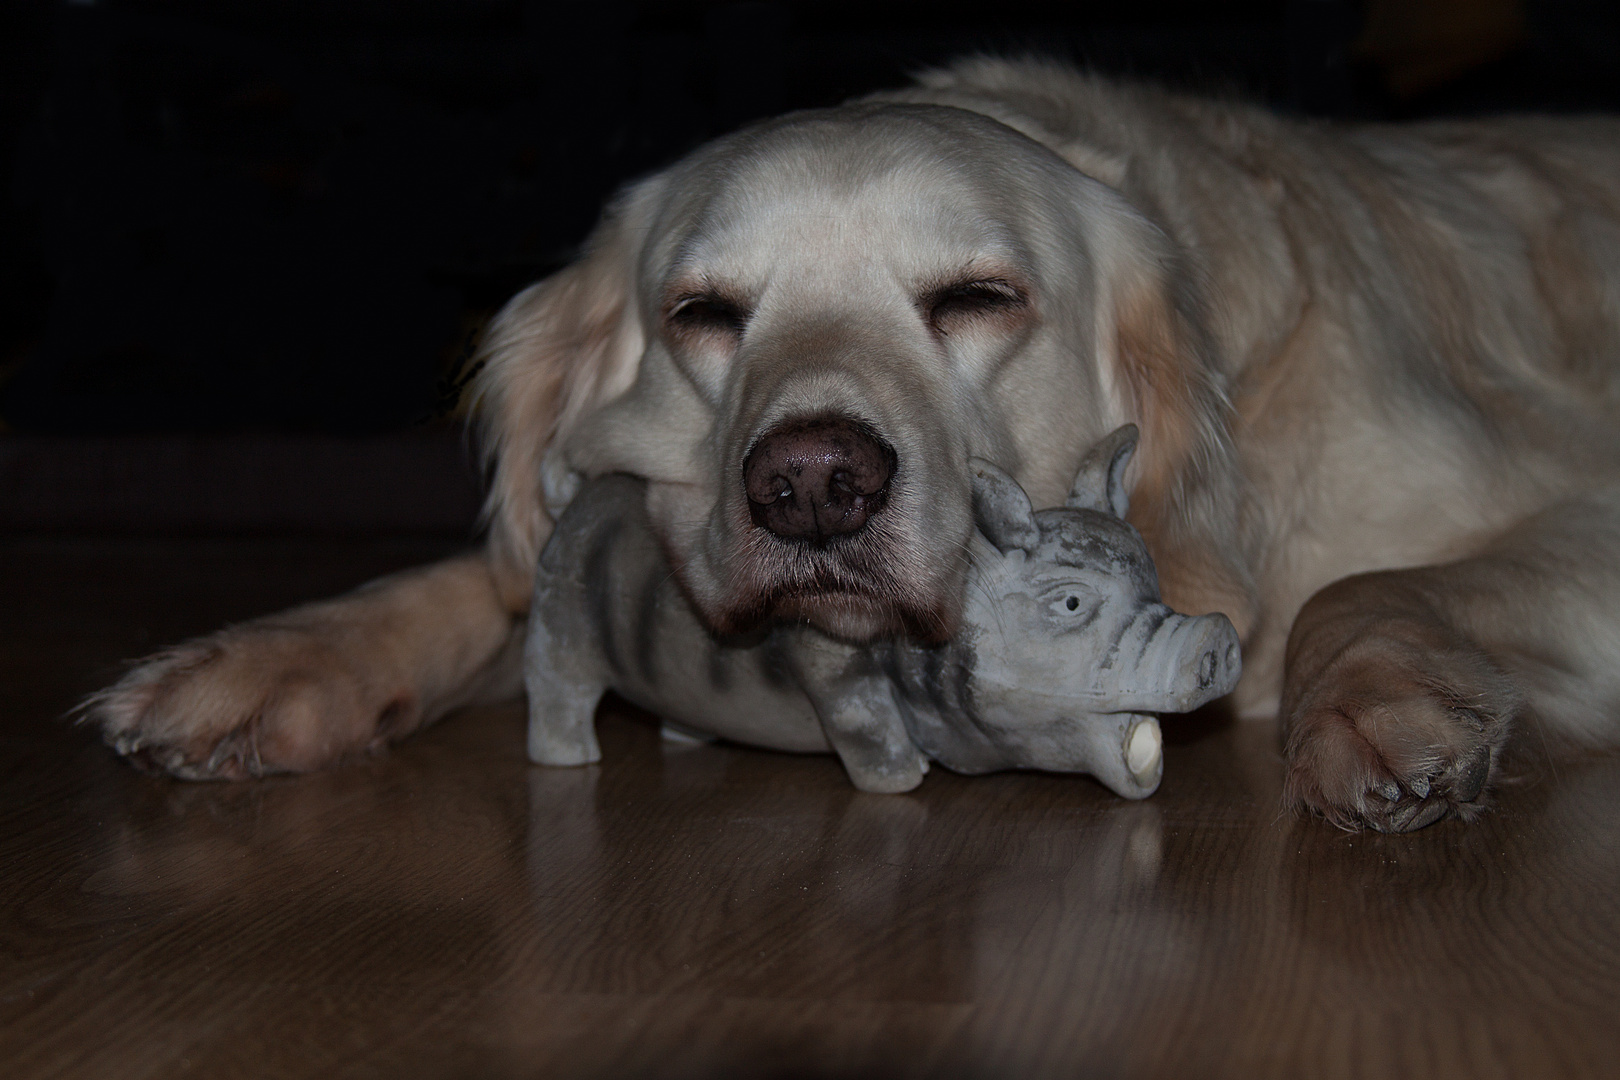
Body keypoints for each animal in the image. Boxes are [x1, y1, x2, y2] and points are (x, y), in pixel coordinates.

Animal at [88, 59, 1620, 835]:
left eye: (981, 297)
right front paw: (268, 665)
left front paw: (1384, 711)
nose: (814, 487)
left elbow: (1360, 588)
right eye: (703, 314)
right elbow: (494, 583)